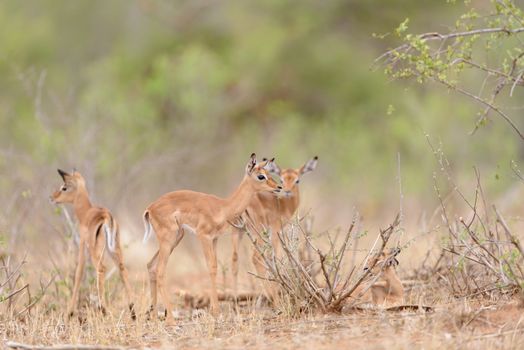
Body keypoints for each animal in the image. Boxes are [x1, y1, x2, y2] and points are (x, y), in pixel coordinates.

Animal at [50, 168, 134, 318]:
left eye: (64, 187)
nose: (52, 197)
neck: (85, 213)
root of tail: (106, 217)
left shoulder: (82, 244)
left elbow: (79, 273)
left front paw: (70, 312)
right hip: (114, 249)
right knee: (122, 268)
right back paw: (132, 311)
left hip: (97, 252)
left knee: (101, 268)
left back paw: (103, 309)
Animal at [141, 154, 280, 324]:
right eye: (261, 176)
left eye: (268, 173)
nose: (278, 187)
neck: (223, 207)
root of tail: (150, 208)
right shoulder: (204, 236)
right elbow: (211, 267)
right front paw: (216, 311)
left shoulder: (214, 239)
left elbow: (214, 267)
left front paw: (215, 310)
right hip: (168, 240)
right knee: (160, 271)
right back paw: (171, 320)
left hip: (176, 238)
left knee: (151, 266)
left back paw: (154, 317)